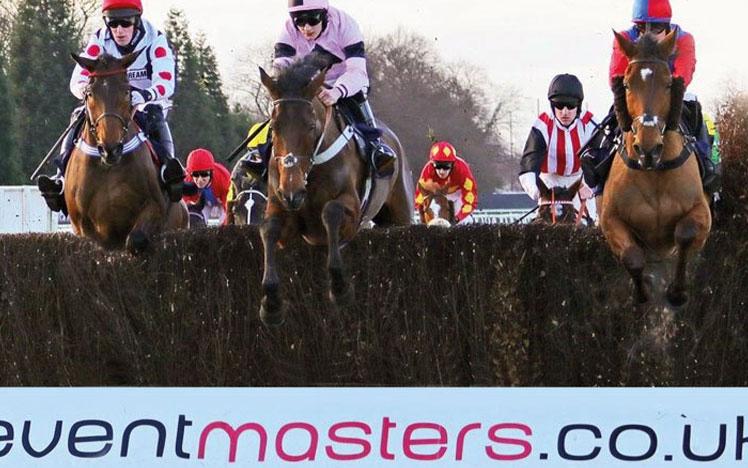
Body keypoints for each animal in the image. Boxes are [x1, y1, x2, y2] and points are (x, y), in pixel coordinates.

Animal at [67, 52, 187, 254]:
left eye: (127, 92)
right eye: (90, 93)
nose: (110, 148)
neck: (108, 166)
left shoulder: (154, 207)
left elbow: (135, 239)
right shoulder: (82, 223)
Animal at [254, 57, 412, 326]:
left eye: (311, 126)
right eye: (274, 126)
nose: (293, 192)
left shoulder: (352, 211)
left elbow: (331, 212)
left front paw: (340, 288)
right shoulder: (282, 208)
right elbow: (269, 229)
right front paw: (271, 304)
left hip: (400, 211)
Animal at [600, 31, 712, 306]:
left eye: (668, 83)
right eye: (627, 84)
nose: (647, 148)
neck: (654, 171)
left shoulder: (702, 212)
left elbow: (685, 234)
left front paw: (677, 292)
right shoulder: (609, 219)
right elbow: (632, 256)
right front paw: (642, 294)